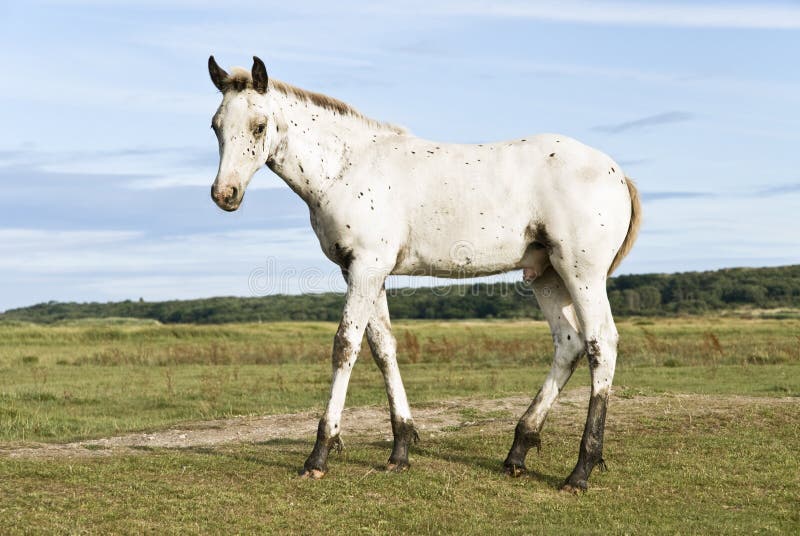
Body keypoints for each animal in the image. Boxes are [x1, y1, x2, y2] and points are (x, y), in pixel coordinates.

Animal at [208, 55, 644, 490]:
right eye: (216, 126)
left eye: (259, 126)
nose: (224, 195)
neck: (348, 167)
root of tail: (618, 173)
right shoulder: (363, 271)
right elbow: (383, 348)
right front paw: (400, 449)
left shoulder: (367, 267)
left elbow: (345, 346)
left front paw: (320, 453)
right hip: (547, 275)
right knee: (569, 343)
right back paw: (518, 451)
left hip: (581, 274)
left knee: (601, 344)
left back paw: (581, 470)